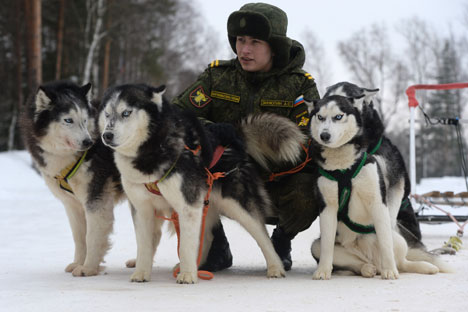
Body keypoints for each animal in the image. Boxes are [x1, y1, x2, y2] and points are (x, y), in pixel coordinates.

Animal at [20, 81, 124, 276]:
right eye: (68, 120)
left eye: (84, 120)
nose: (88, 142)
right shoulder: (72, 205)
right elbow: (79, 237)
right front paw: (78, 263)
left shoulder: (96, 200)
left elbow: (92, 237)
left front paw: (88, 268)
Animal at [99, 84, 304, 284]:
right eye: (107, 114)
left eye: (126, 113)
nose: (106, 135)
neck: (152, 150)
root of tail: (235, 138)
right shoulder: (142, 209)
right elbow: (144, 245)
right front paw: (141, 273)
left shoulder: (187, 206)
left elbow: (186, 245)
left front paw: (187, 276)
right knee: (206, 236)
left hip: (238, 206)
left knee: (262, 235)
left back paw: (275, 268)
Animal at [308, 94, 450, 280]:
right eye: (320, 117)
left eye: (338, 116)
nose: (324, 135)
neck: (344, 168)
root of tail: (371, 258)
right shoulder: (327, 207)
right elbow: (327, 246)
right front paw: (323, 271)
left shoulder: (377, 201)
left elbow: (385, 243)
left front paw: (390, 271)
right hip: (317, 247)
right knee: (354, 263)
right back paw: (366, 269)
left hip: (398, 239)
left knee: (402, 261)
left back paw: (419, 267)